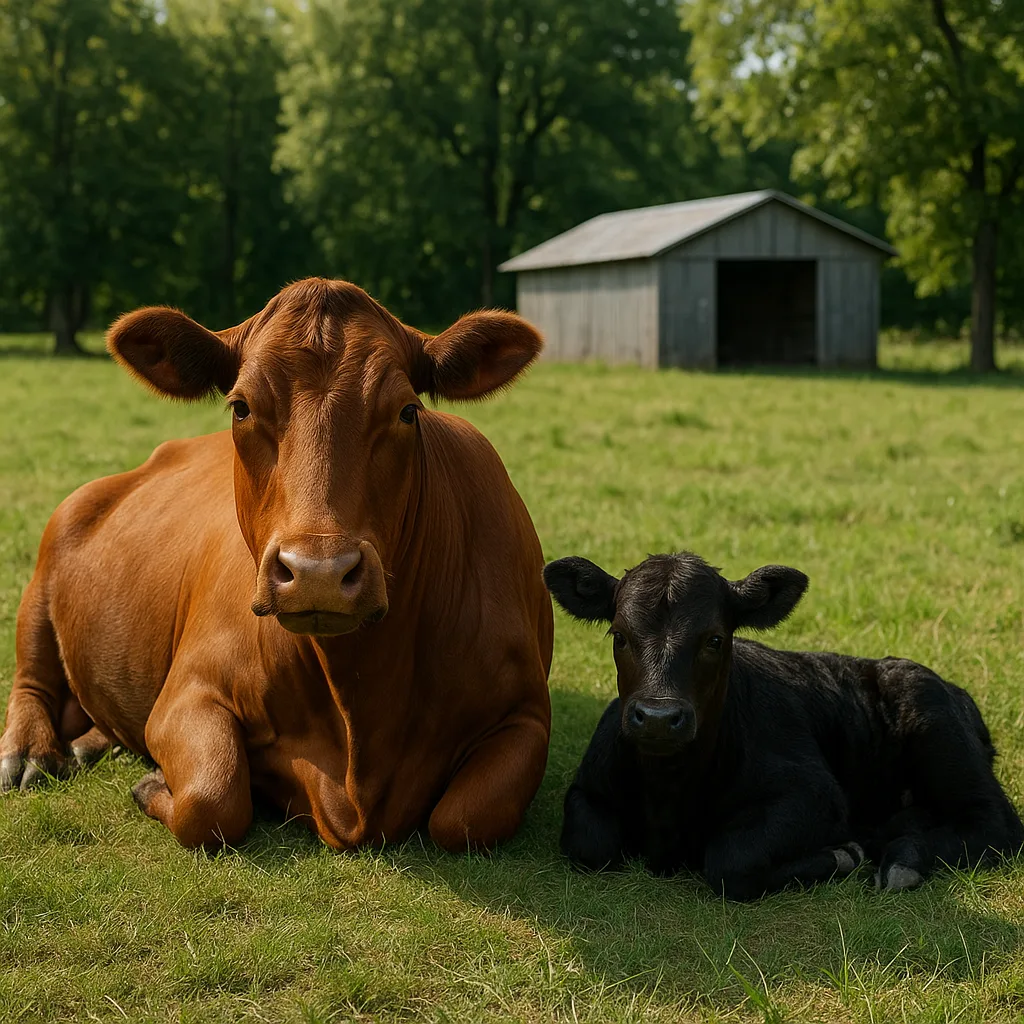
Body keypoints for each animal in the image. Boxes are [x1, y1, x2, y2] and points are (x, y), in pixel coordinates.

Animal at [0, 278, 553, 853]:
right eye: (241, 408)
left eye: (407, 411)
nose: (319, 573)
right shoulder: (186, 693)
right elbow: (212, 798)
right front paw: (153, 782)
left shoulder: (527, 715)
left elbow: (467, 817)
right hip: (45, 568)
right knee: (31, 678)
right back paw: (30, 752)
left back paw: (90, 742)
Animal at [544, 551, 1022, 900]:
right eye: (619, 635)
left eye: (715, 639)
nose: (659, 719)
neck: (669, 794)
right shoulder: (588, 788)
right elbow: (589, 843)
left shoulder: (815, 793)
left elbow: (731, 861)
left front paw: (842, 854)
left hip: (936, 726)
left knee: (995, 822)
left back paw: (902, 857)